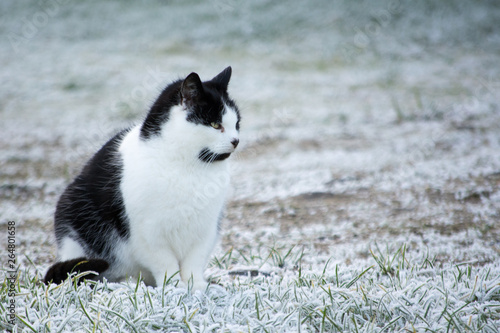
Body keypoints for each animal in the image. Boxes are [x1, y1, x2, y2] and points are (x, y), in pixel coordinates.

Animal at [43, 66, 240, 290]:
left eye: (237, 124)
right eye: (215, 125)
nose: (236, 140)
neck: (190, 167)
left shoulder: (206, 229)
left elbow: (194, 262)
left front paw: (196, 286)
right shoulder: (148, 235)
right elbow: (165, 263)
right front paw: (174, 286)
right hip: (71, 215)